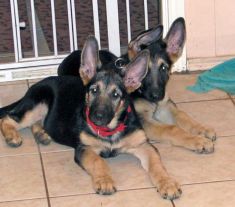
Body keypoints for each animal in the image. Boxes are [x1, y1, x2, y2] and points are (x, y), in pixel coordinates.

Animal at [0, 36, 182, 200]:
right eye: (94, 90)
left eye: (116, 95)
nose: (97, 117)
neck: (110, 130)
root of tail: (38, 83)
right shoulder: (84, 149)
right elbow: (98, 161)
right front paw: (105, 180)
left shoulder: (143, 145)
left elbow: (157, 164)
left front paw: (167, 183)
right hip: (37, 105)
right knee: (9, 119)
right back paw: (12, 136)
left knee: (36, 122)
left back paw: (42, 134)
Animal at [57, 17, 216, 154]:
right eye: (145, 71)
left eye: (164, 68)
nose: (156, 96)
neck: (140, 92)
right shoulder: (144, 121)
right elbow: (172, 129)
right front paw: (198, 141)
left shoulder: (165, 106)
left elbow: (183, 115)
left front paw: (202, 129)